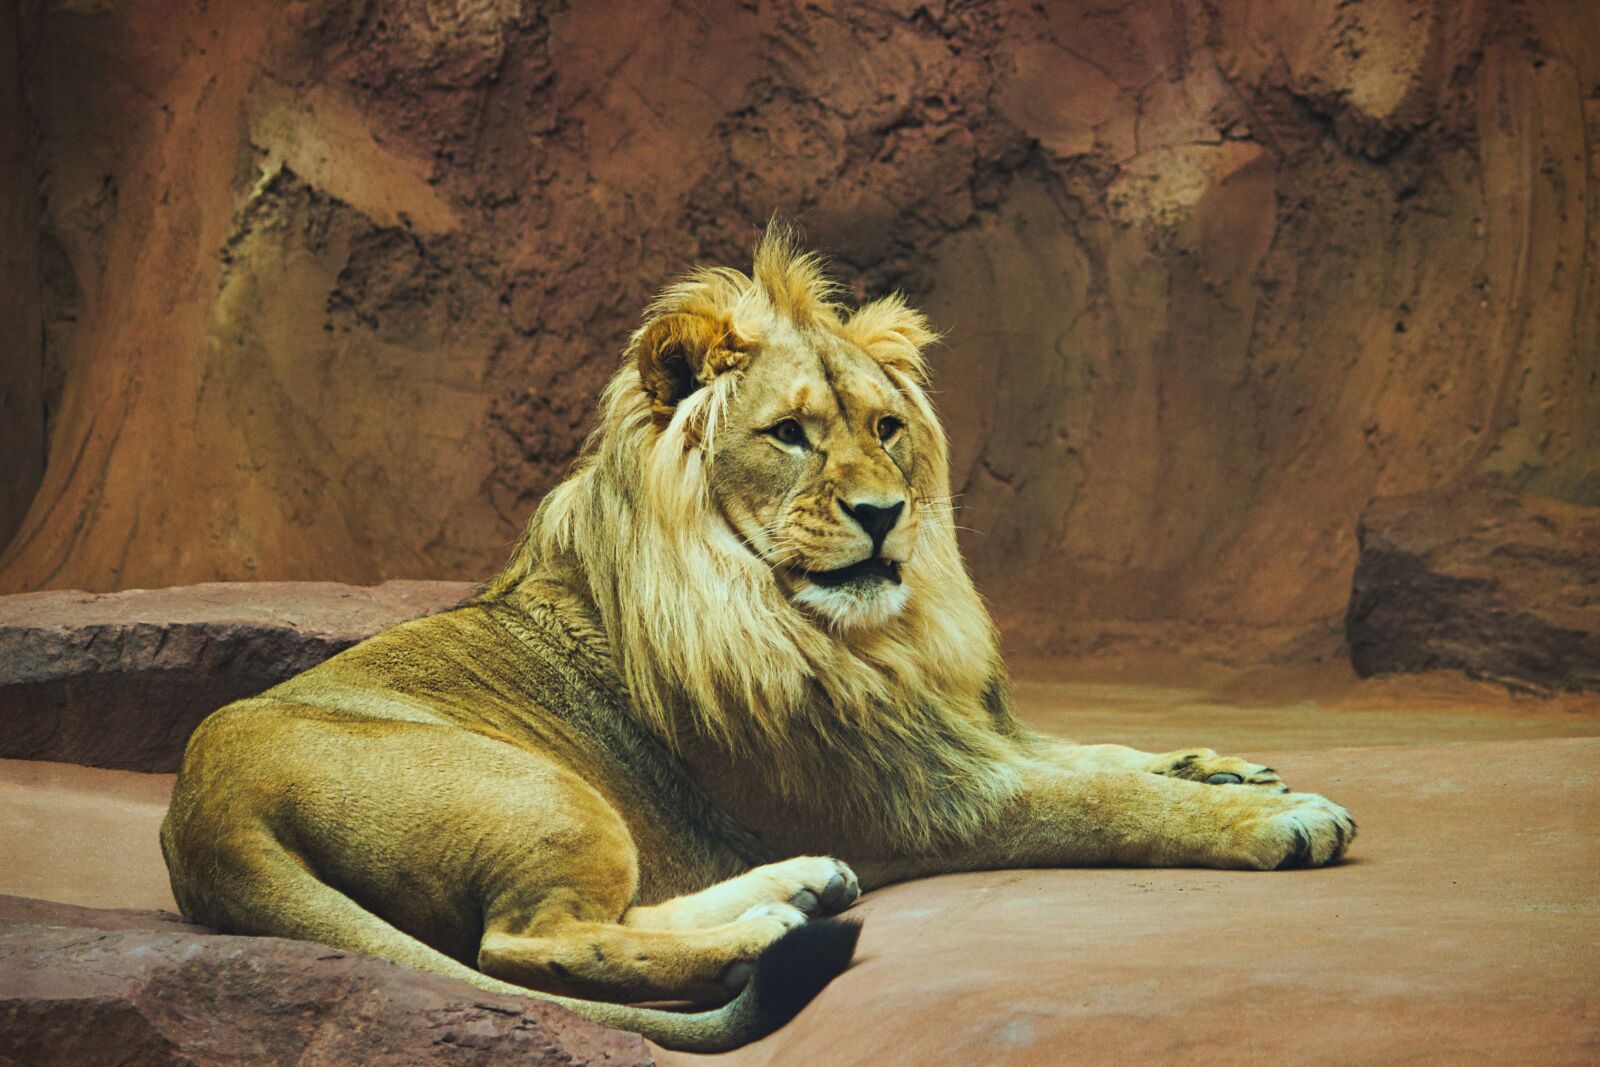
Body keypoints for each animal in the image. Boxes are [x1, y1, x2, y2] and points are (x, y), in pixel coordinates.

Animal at [161, 225, 1354, 1052]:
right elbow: (1104, 799)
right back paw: (776, 930)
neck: (851, 635)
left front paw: (1221, 762)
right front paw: (1276, 816)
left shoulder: (945, 733)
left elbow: (1091, 751)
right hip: (544, 793)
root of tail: (200, 811)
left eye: (886, 428)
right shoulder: (919, 796)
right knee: (532, 940)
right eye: (789, 435)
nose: (884, 514)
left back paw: (802, 887)